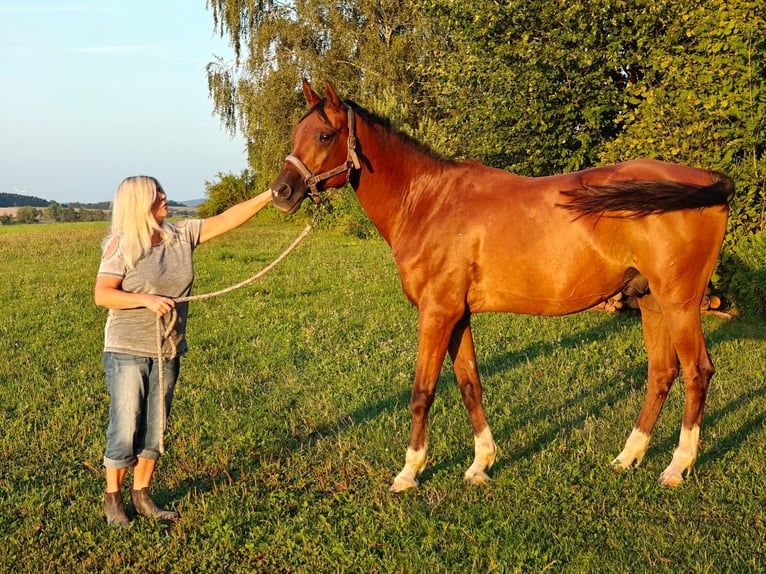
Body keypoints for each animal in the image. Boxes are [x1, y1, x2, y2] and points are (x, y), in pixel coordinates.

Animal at [270, 82, 732, 496]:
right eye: (296, 134)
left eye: (325, 135)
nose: (281, 192)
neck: (427, 202)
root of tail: (705, 178)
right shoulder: (458, 316)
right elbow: (470, 385)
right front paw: (481, 464)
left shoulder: (436, 313)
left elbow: (423, 392)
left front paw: (409, 472)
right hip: (652, 303)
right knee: (661, 373)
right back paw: (628, 456)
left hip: (680, 303)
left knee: (697, 372)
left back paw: (677, 467)